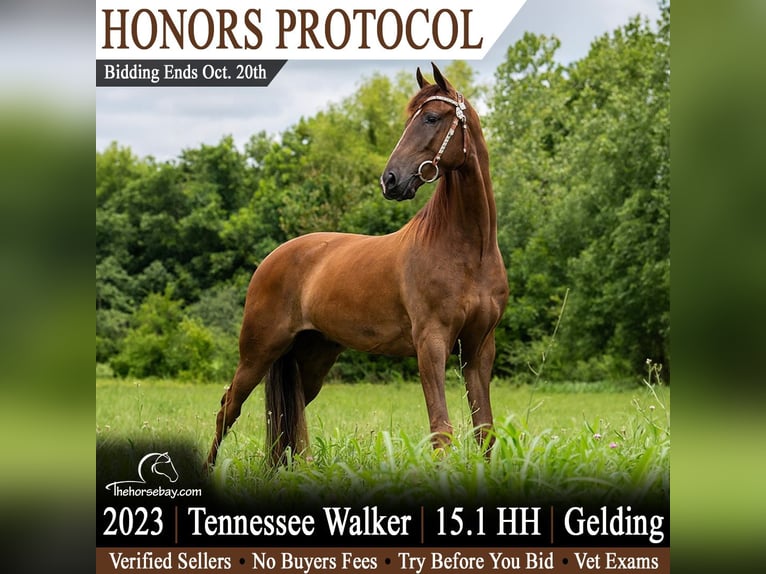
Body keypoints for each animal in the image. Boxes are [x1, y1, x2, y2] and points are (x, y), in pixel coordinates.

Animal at [205, 63, 509, 469]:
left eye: (430, 117)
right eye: (410, 119)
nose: (390, 180)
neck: (468, 252)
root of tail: (271, 259)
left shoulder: (479, 347)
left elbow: (483, 430)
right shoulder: (431, 343)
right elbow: (441, 430)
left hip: (312, 359)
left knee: (287, 417)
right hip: (258, 351)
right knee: (229, 407)